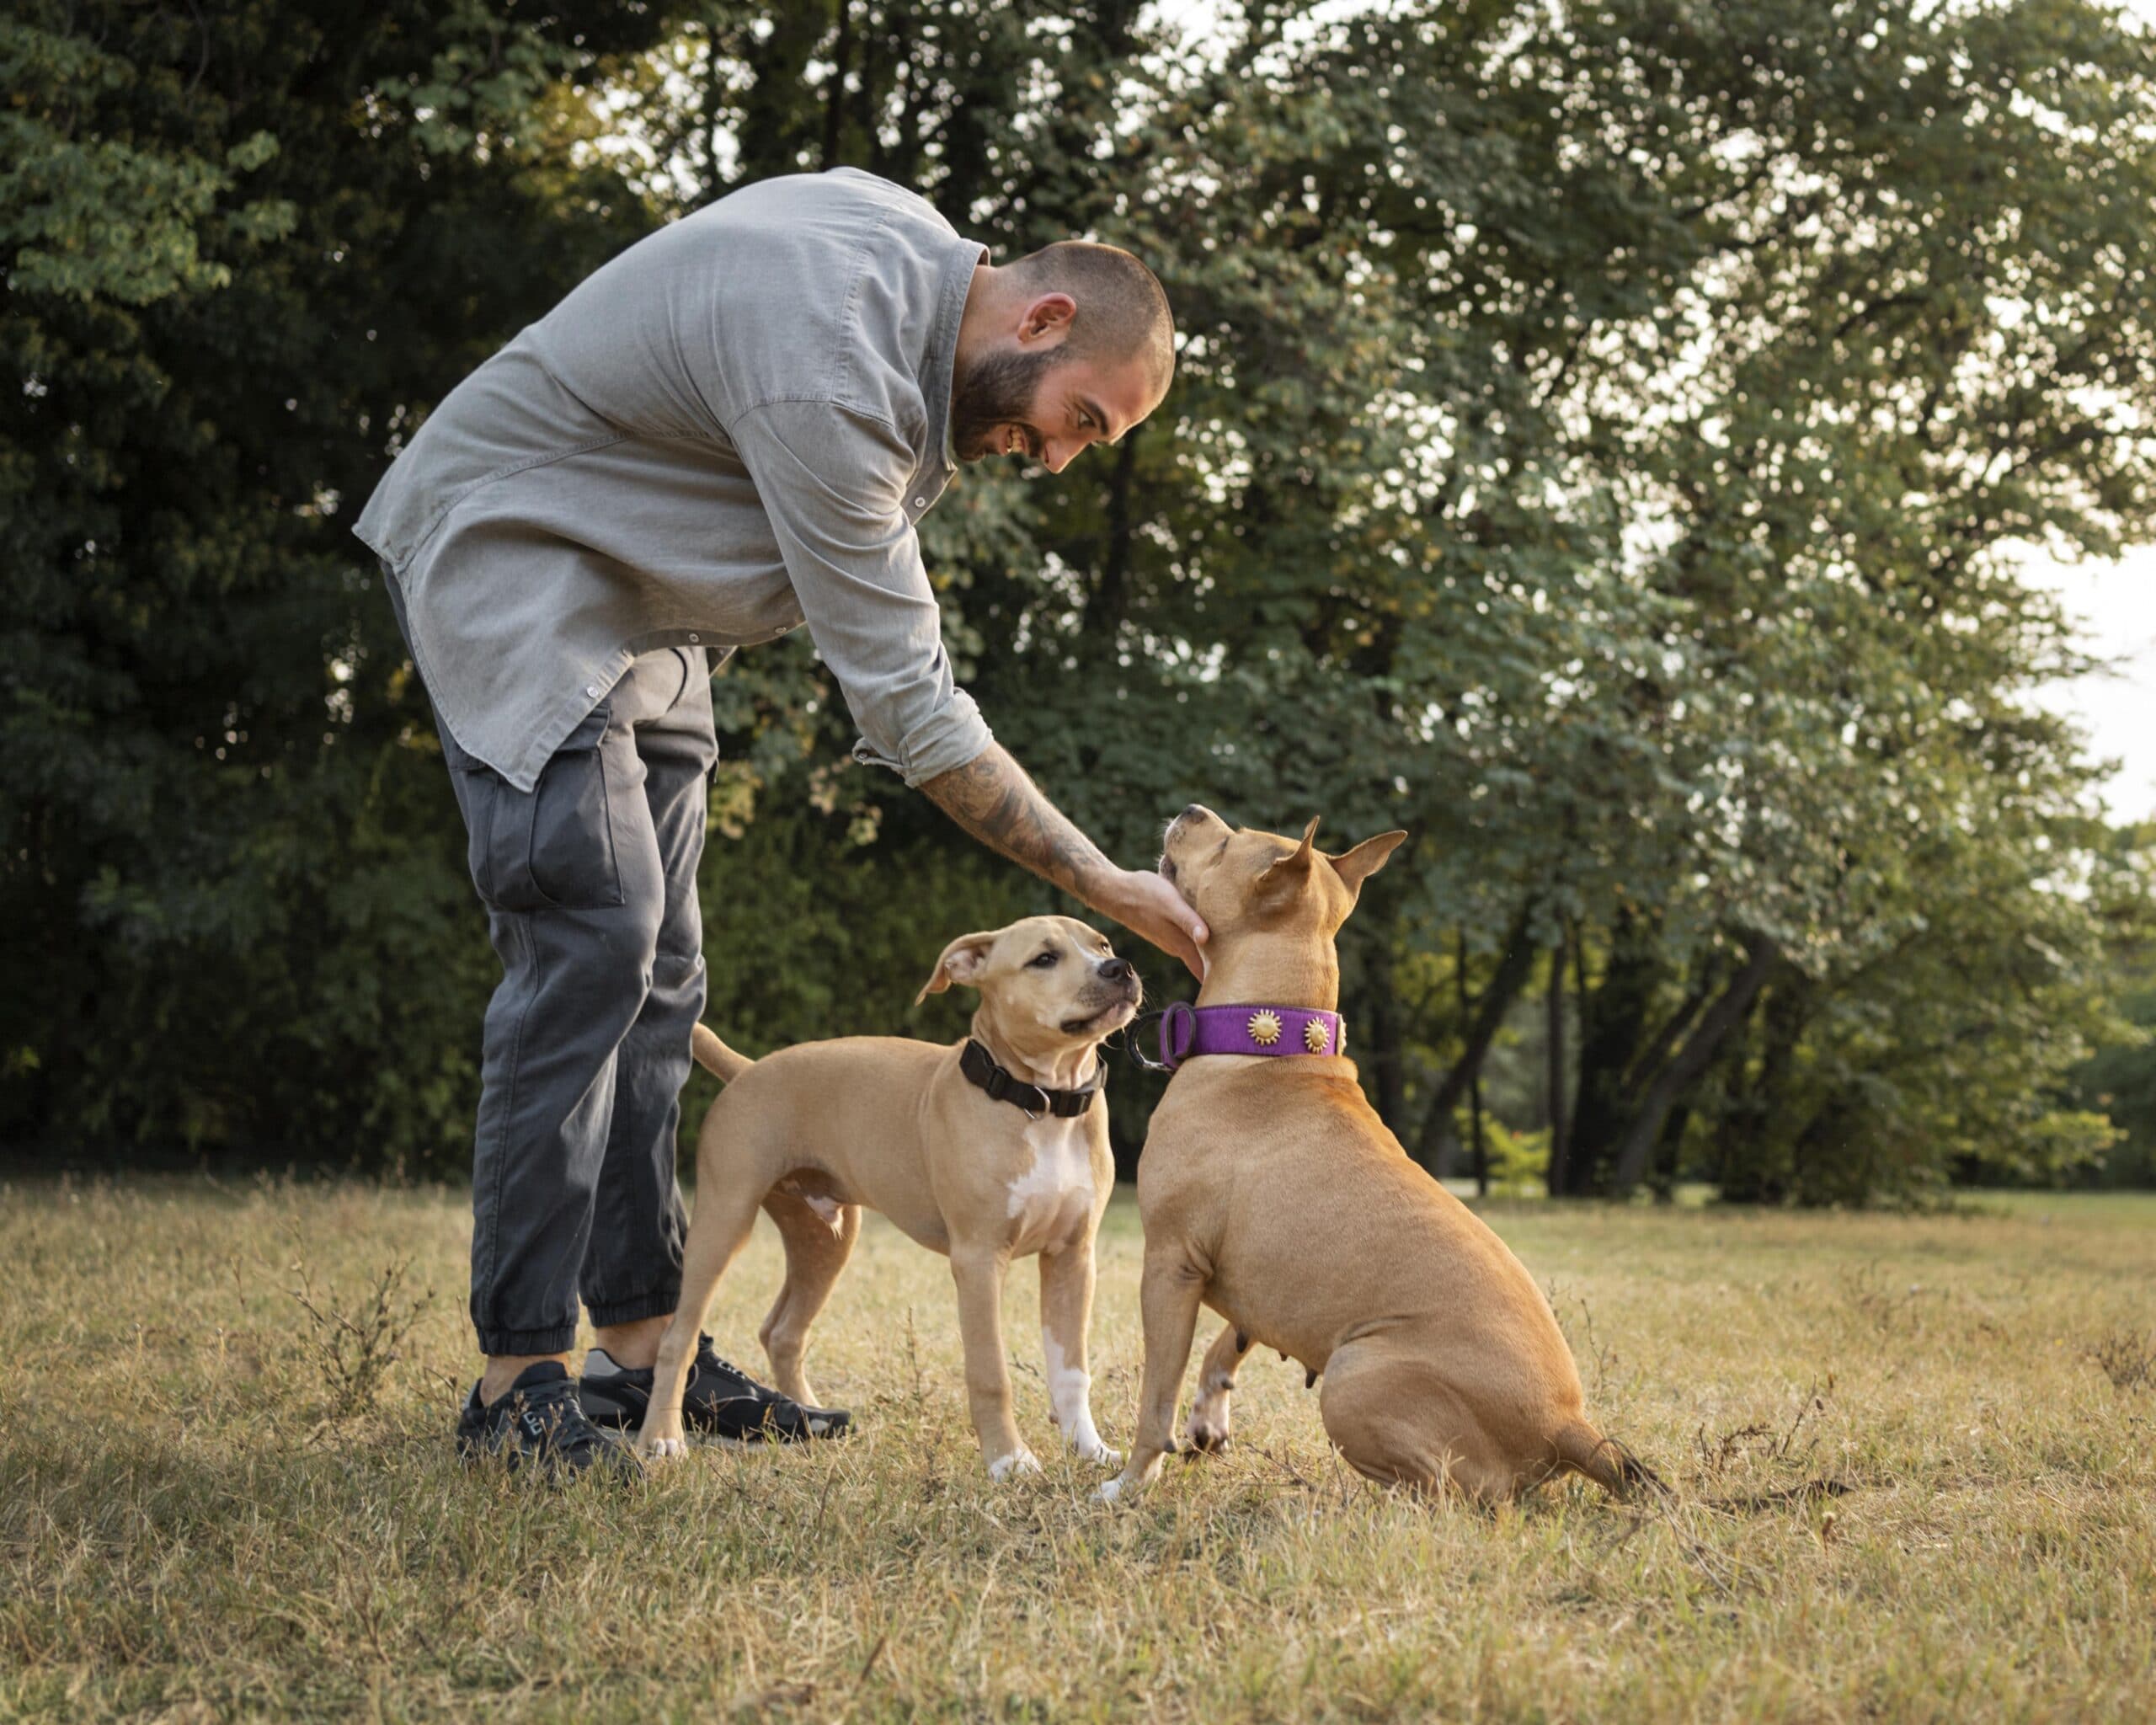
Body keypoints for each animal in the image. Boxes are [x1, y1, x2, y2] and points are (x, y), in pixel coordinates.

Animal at [638, 914, 1146, 1483]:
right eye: (1044, 959)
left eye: (1102, 943)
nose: (1119, 967)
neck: (1042, 1102)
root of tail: (748, 1070)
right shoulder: (978, 1259)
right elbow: (990, 1372)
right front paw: (1009, 1460)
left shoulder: (1073, 1256)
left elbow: (1071, 1370)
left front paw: (1090, 1450)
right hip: (723, 1220)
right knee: (677, 1337)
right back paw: (662, 1439)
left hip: (824, 1236)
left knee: (782, 1331)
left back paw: (809, 1420)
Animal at [1103, 814, 1656, 1500]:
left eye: (1230, 842)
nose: (1192, 809)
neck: (1270, 1043)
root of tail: (1568, 1425)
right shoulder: (1260, 1284)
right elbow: (1225, 1346)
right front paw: (1209, 1415)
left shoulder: (1170, 1264)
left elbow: (1156, 1396)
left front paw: (1129, 1483)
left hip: (1352, 1377)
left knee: (1451, 1496)